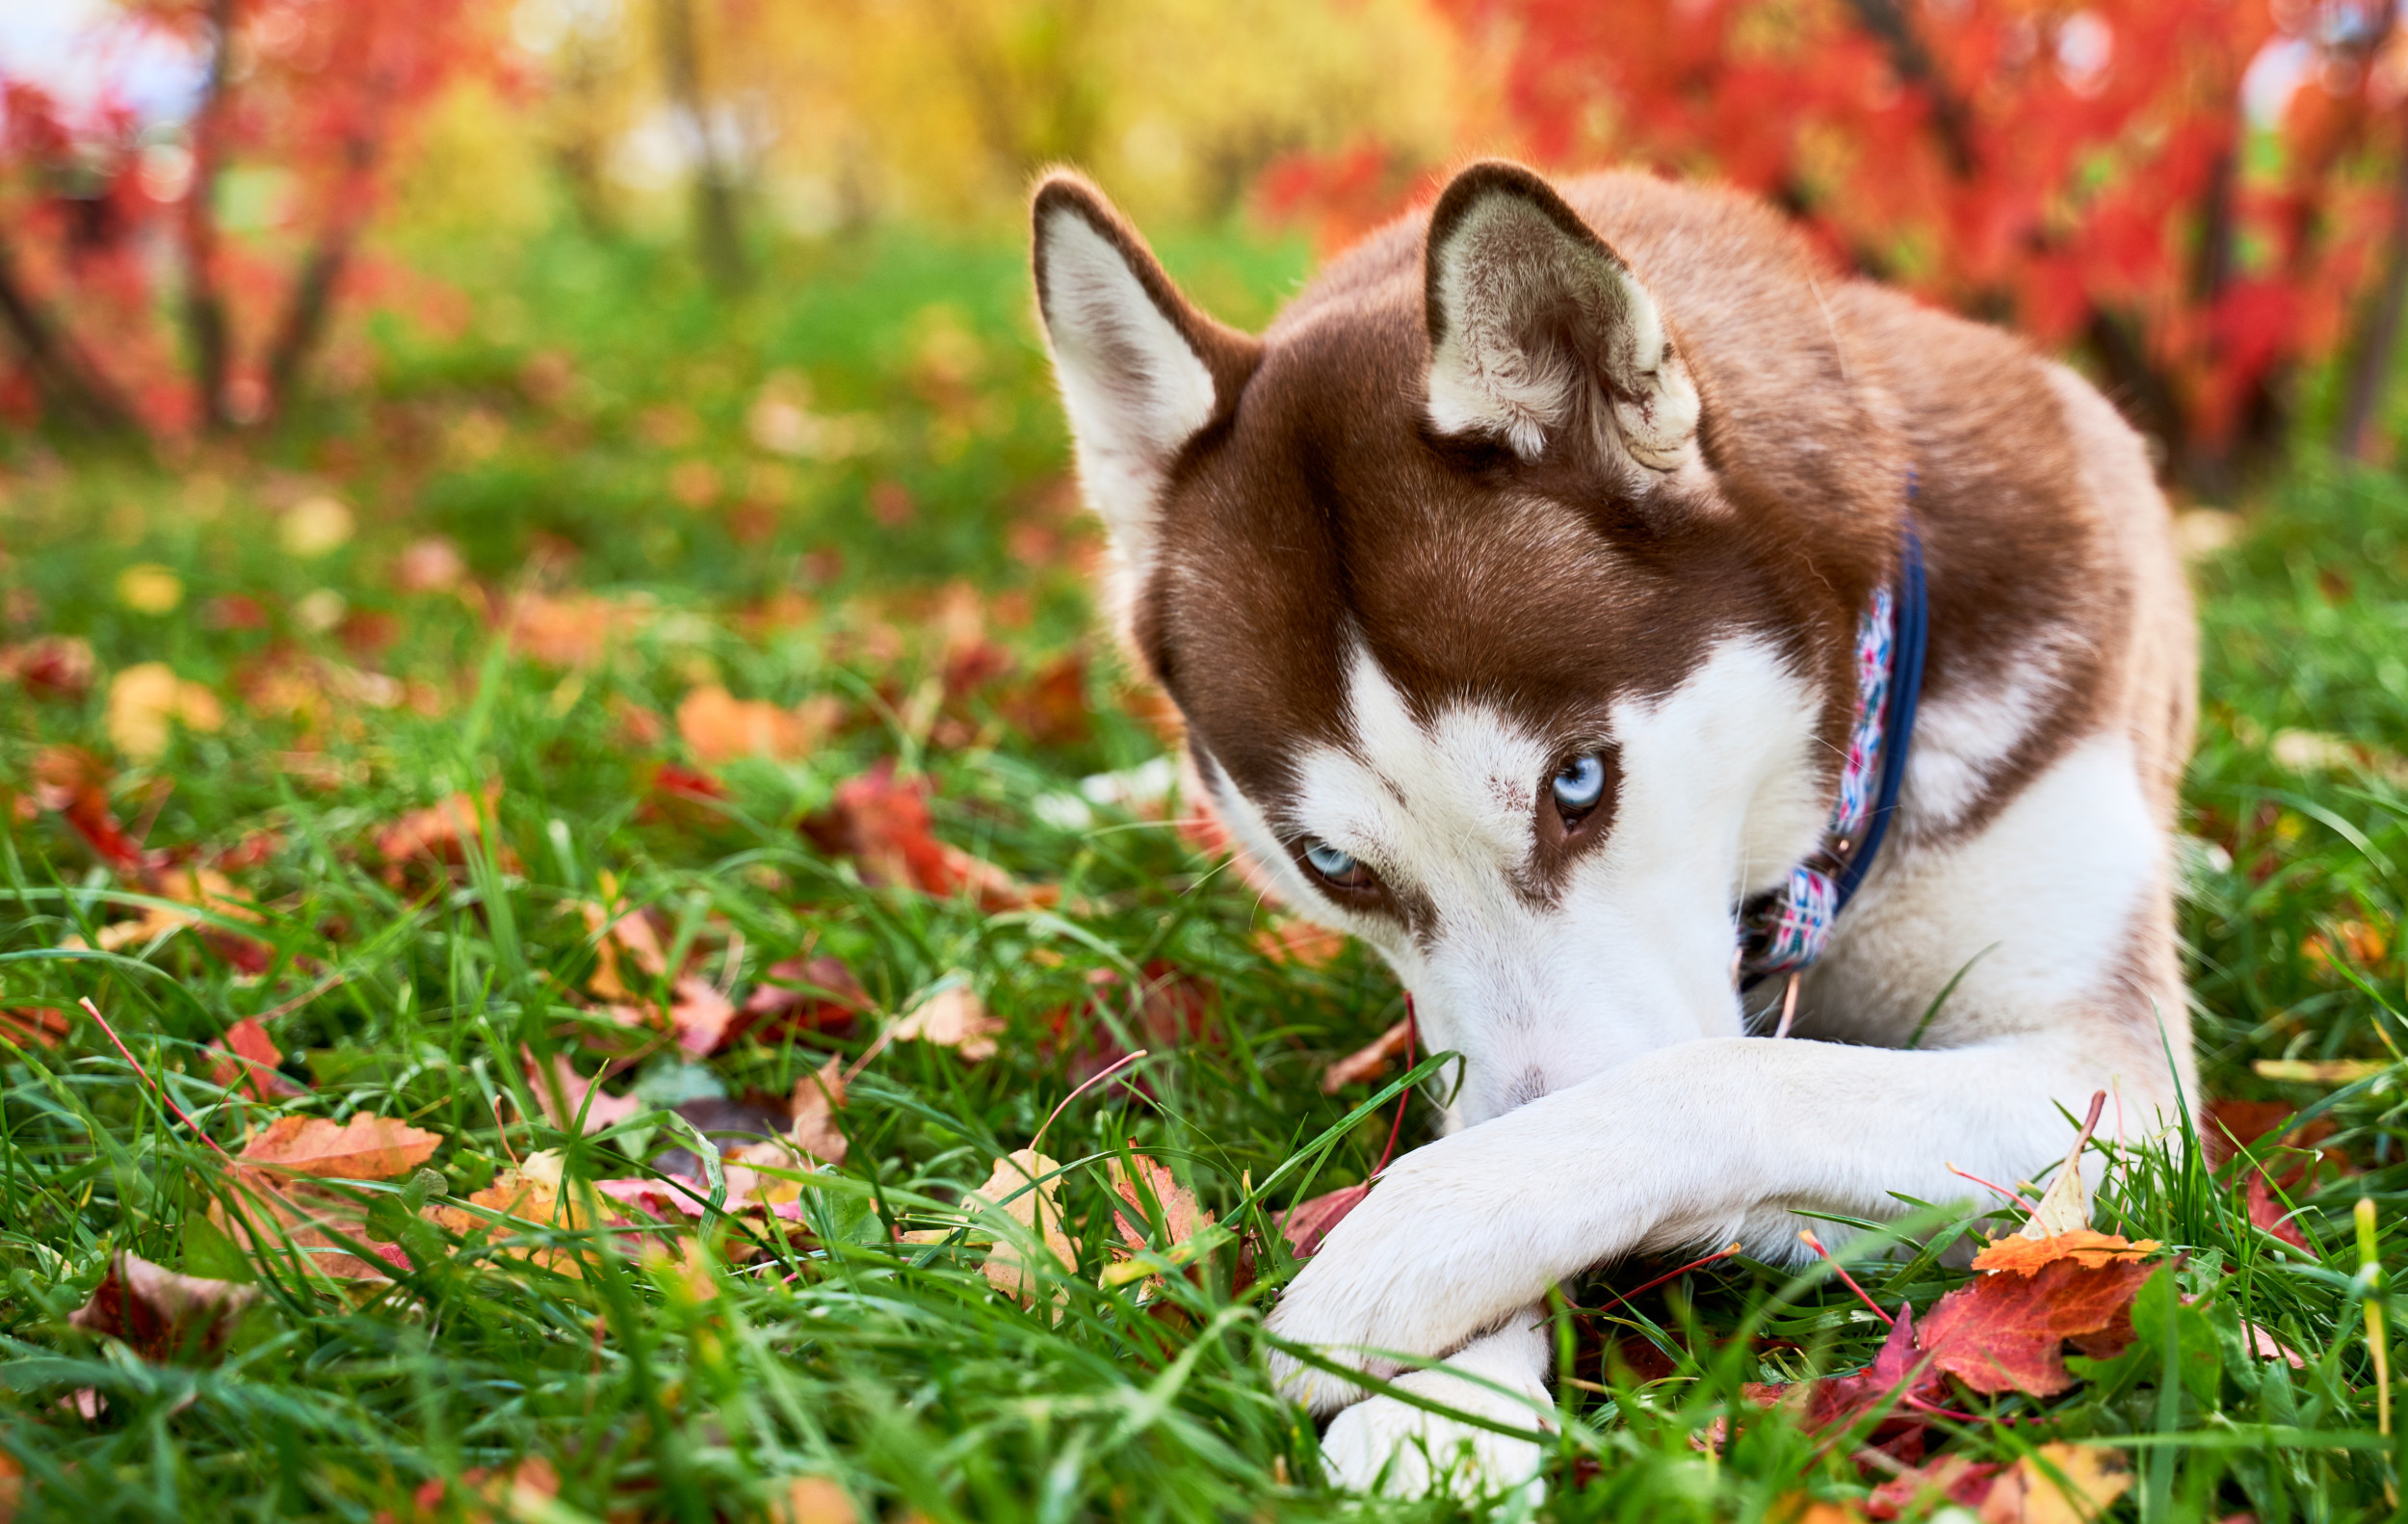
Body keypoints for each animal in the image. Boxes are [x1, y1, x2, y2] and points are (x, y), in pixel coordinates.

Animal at [1026, 160, 2196, 1492]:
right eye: (1331, 865)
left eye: (1576, 784)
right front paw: (1446, 1401)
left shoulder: (2115, 1093)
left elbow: (1727, 1074)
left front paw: (1414, 1243)